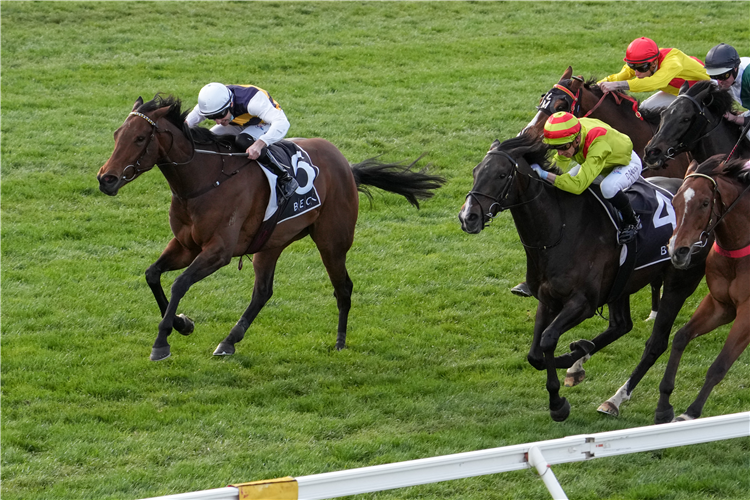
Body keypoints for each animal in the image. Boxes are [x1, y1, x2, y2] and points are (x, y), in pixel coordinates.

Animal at [96, 94, 444, 360]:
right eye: (116, 135)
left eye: (140, 138)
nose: (106, 179)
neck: (205, 180)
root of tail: (347, 166)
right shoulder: (185, 245)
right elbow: (152, 274)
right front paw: (183, 324)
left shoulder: (218, 250)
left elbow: (180, 283)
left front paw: (162, 342)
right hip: (270, 243)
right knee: (263, 292)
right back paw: (229, 341)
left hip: (332, 241)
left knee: (343, 288)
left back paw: (340, 342)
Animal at [458, 134, 712, 422]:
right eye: (475, 171)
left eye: (501, 175)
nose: (468, 217)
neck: (559, 232)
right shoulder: (548, 298)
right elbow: (535, 354)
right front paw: (574, 359)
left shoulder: (583, 303)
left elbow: (547, 339)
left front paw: (558, 403)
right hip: (622, 284)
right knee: (621, 325)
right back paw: (581, 359)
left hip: (678, 283)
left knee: (655, 344)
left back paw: (615, 399)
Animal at [656, 156, 750, 422]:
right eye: (674, 201)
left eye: (705, 203)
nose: (678, 251)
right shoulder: (720, 305)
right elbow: (680, 337)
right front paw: (664, 404)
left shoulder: (747, 313)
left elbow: (720, 364)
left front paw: (691, 412)